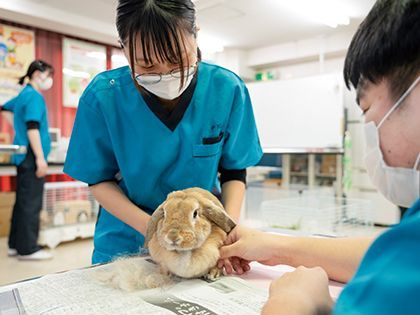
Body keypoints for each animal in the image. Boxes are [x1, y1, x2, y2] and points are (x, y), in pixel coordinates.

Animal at [94, 188, 236, 292]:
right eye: (165, 214)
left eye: (195, 213)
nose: (172, 236)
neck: (183, 253)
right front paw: (163, 276)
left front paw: (213, 274)